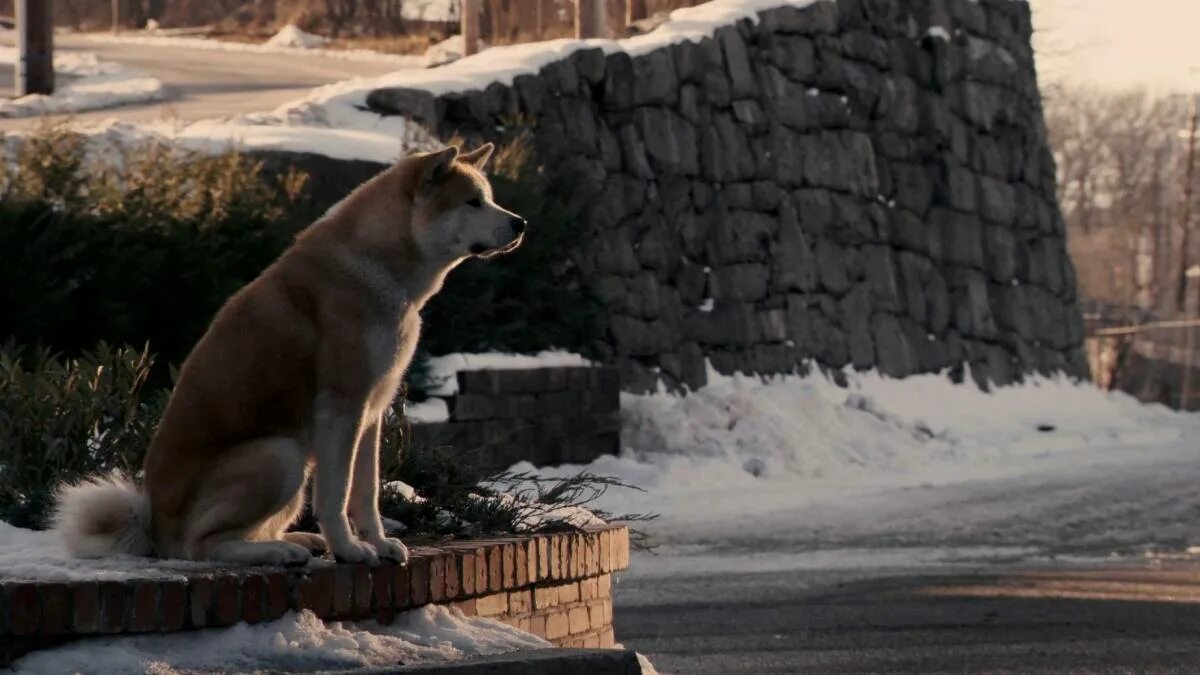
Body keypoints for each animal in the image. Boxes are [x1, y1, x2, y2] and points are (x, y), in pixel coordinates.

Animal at [52, 144, 525, 564]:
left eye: (490, 198)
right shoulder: (343, 408)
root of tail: (153, 529)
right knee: (200, 545)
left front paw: (378, 544)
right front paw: (349, 550)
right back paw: (276, 552)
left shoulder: (372, 412)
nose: (521, 223)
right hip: (281, 455)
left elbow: (367, 492)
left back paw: (295, 541)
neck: (379, 262)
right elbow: (337, 495)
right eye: (473, 201)